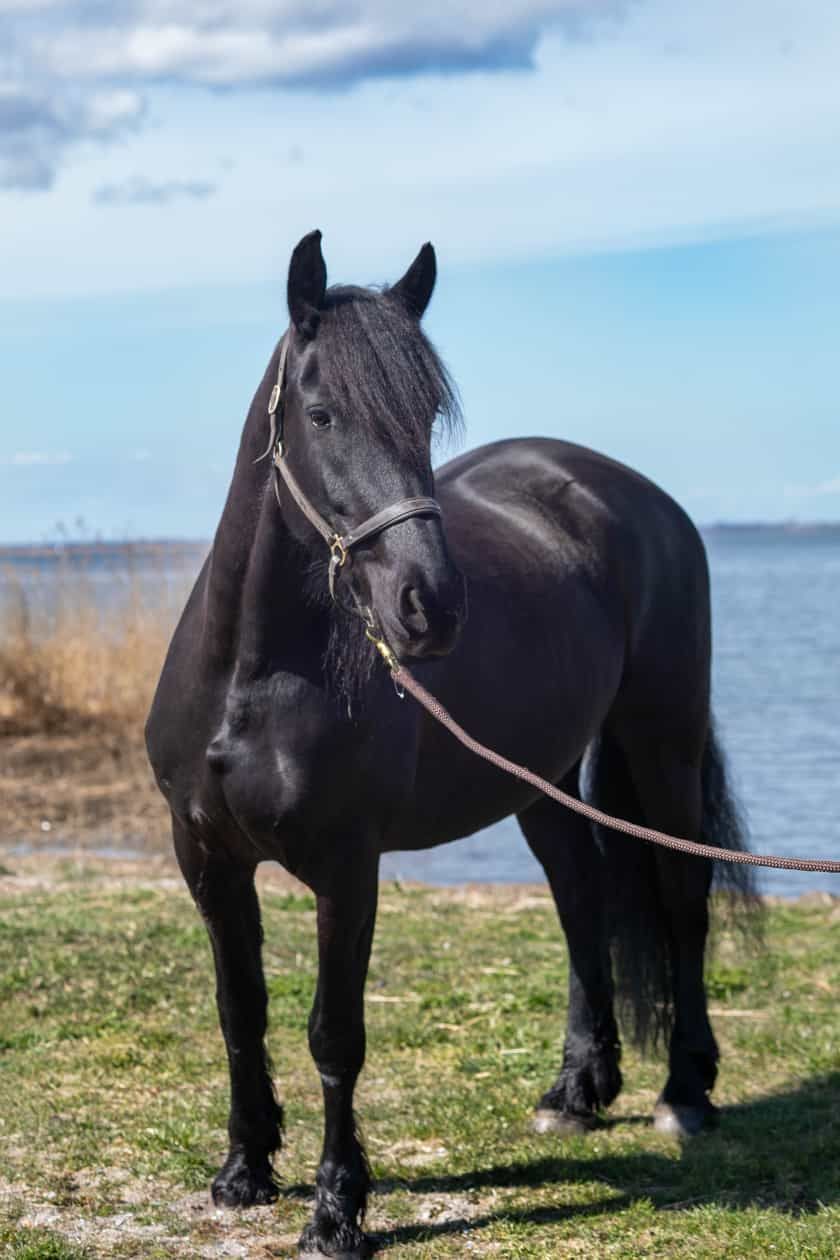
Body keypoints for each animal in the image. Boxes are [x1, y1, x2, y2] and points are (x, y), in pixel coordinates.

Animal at [146, 230, 754, 1259]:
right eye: (321, 412)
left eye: (428, 416)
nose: (430, 605)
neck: (251, 680)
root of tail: (636, 497)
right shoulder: (208, 858)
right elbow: (240, 1012)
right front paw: (243, 1170)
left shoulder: (347, 868)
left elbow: (334, 1035)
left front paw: (336, 1211)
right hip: (544, 778)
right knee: (581, 896)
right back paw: (576, 1092)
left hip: (661, 738)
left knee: (680, 898)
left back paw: (685, 1094)